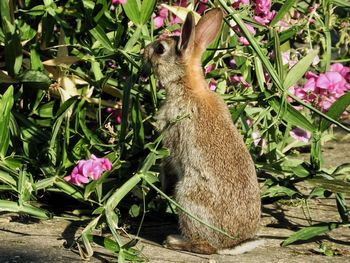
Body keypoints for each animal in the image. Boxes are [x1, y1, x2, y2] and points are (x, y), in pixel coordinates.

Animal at [144, 8, 262, 256]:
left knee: (204, 246)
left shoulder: (172, 137)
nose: (143, 51)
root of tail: (229, 243)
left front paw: (161, 184)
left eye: (160, 49)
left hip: (187, 196)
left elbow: (168, 160)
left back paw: (174, 241)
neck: (187, 85)